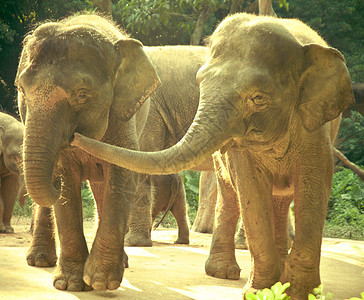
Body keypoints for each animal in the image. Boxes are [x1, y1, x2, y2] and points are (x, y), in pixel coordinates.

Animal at [15, 13, 159, 290]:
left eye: (82, 94)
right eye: (21, 90)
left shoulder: (121, 119)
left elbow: (122, 177)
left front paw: (100, 282)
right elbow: (67, 187)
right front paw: (71, 284)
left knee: (103, 187)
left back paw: (121, 262)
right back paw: (39, 261)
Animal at [71, 12, 352, 298]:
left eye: (258, 98)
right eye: (199, 84)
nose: (73, 134)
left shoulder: (315, 128)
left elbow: (313, 187)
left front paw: (297, 292)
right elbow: (250, 188)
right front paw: (269, 290)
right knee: (238, 194)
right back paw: (228, 273)